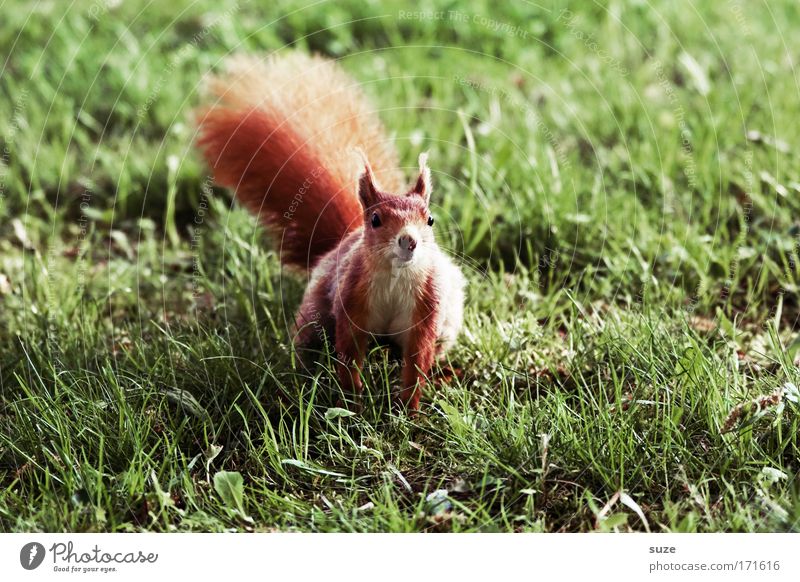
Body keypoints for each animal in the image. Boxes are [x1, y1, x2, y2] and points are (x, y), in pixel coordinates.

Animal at [196, 52, 466, 412]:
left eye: (431, 220)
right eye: (376, 219)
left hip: (445, 325)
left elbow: (416, 362)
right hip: (317, 312)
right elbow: (349, 354)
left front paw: (407, 409)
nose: (408, 241)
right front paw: (353, 404)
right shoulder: (350, 300)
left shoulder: (426, 309)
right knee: (309, 343)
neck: (395, 278)